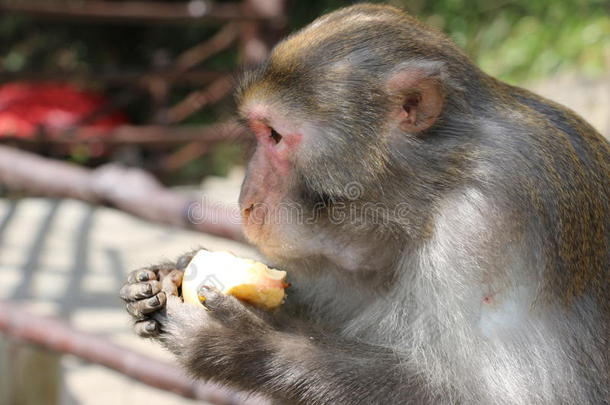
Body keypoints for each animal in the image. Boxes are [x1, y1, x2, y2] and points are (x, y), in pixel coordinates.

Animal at [120, 3, 608, 404]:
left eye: (274, 135)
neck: (436, 186)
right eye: (258, 133)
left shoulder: (487, 225)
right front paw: (166, 273)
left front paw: (241, 344)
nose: (246, 199)